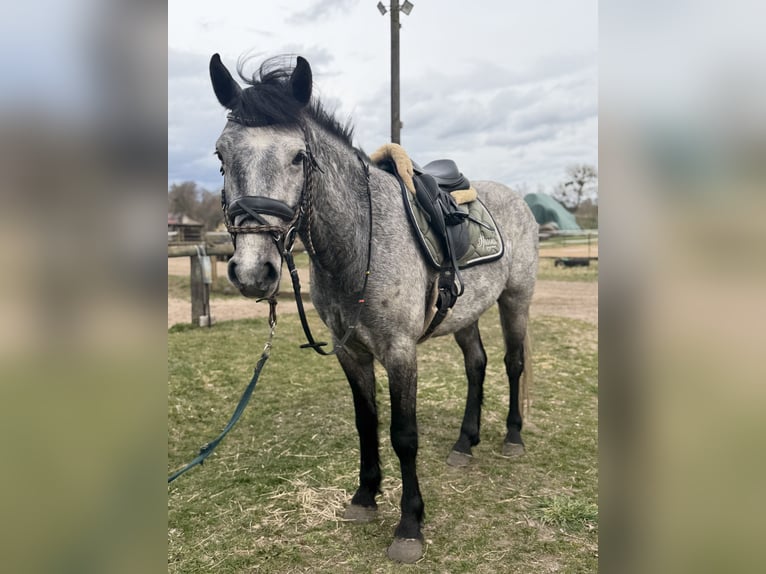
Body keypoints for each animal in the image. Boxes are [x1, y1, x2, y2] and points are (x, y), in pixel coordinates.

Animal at [209, 53, 538, 563]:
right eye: (221, 157)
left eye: (298, 157)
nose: (252, 271)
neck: (359, 241)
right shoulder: (351, 352)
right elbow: (367, 422)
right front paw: (364, 497)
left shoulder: (400, 351)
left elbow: (404, 434)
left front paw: (409, 525)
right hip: (465, 313)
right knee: (477, 365)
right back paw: (465, 443)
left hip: (515, 299)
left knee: (513, 361)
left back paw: (513, 438)